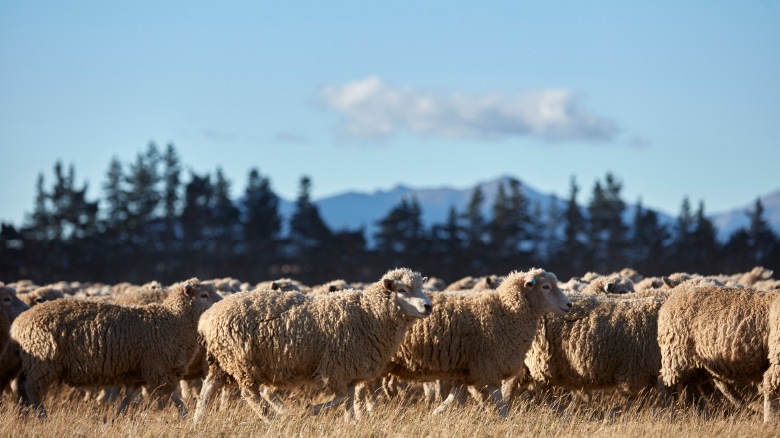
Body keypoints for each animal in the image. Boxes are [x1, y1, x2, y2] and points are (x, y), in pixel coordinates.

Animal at [1, 278, 221, 418]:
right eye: (204, 295)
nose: (222, 302)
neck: (173, 321)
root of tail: (20, 322)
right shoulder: (159, 369)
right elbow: (176, 398)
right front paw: (186, 417)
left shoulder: (138, 371)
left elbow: (128, 398)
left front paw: (116, 417)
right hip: (43, 361)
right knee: (31, 389)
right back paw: (41, 416)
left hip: (32, 363)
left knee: (22, 387)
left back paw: (25, 413)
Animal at [190, 266, 432, 424]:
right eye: (402, 290)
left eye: (421, 288)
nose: (428, 306)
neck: (369, 314)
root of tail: (206, 318)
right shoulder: (337, 367)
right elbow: (341, 398)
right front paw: (312, 410)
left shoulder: (350, 370)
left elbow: (349, 399)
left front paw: (351, 422)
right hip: (241, 361)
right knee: (250, 395)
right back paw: (273, 419)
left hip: (221, 361)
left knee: (208, 390)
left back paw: (197, 421)